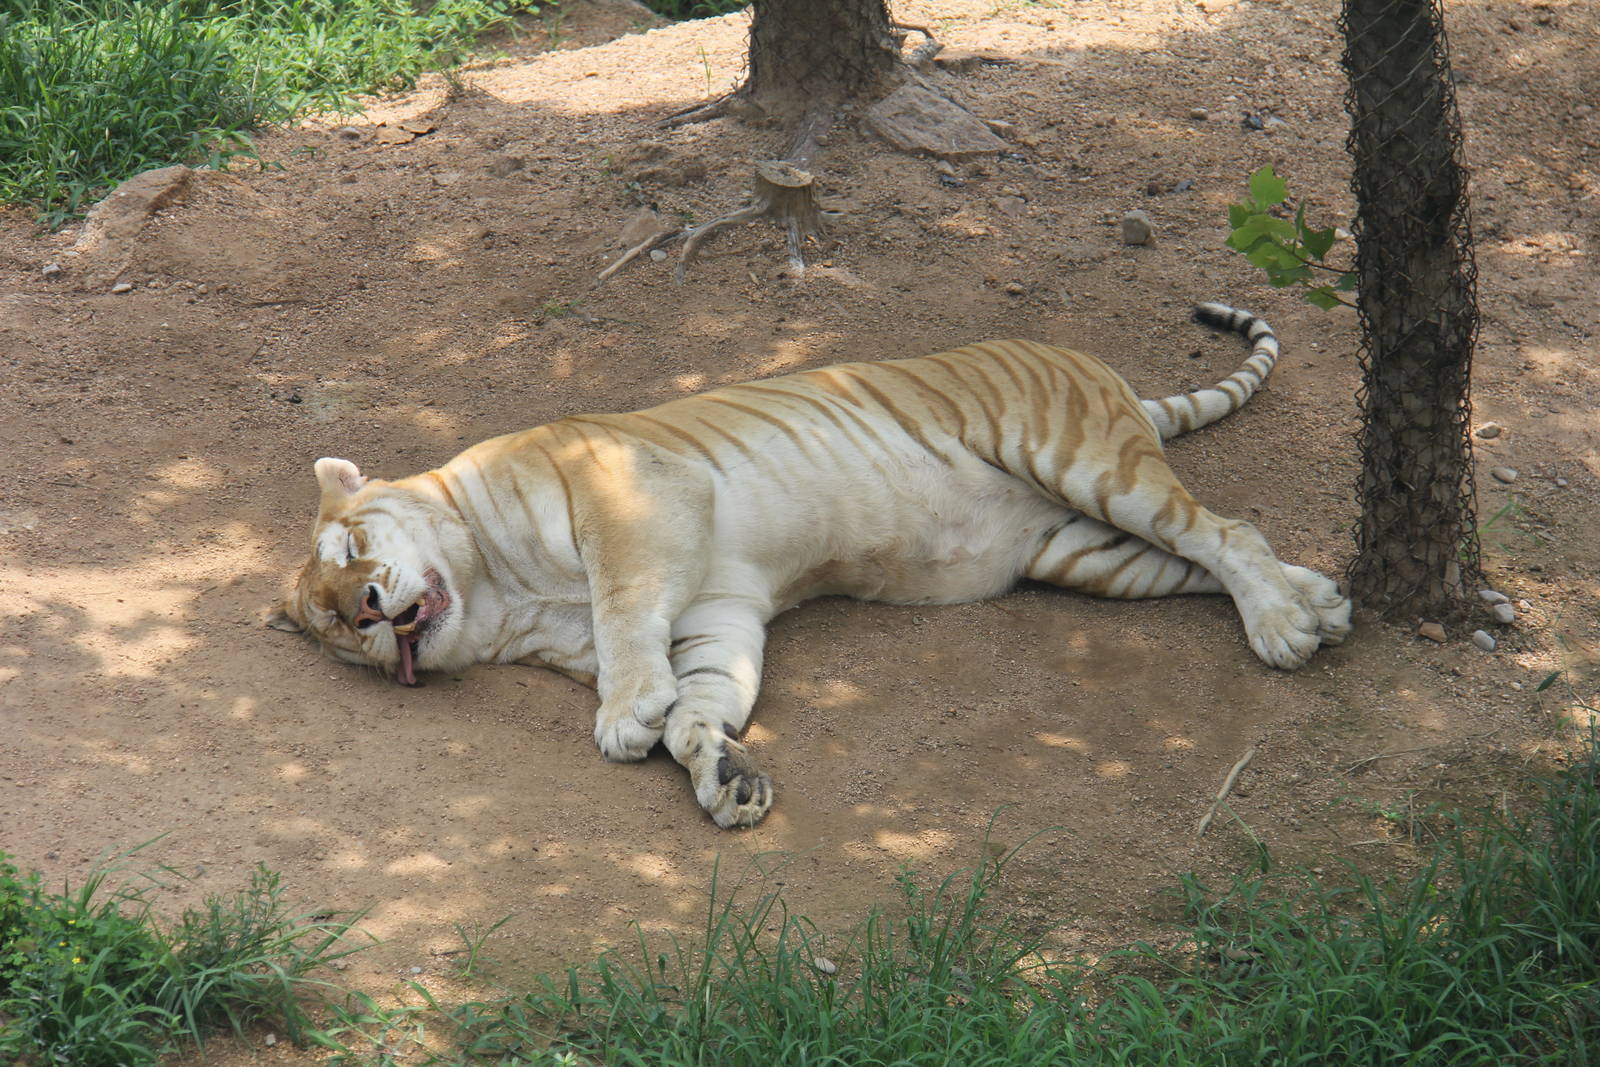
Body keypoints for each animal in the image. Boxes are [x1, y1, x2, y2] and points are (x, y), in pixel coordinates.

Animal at [268, 302, 1351, 829]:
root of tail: (1105, 373)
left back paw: (1284, 630)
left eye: (351, 551)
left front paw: (624, 718)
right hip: (1086, 550)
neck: (501, 598)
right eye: (335, 629)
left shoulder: (631, 503)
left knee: (1225, 530)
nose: (370, 609)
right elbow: (702, 706)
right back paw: (1322, 605)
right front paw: (724, 778)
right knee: (1215, 550)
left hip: (1087, 466)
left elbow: (623, 616)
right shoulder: (716, 615)